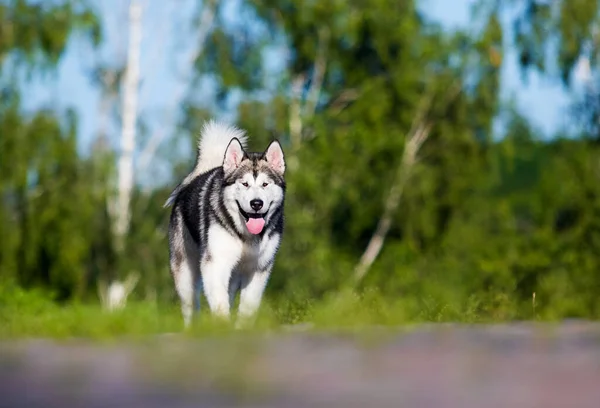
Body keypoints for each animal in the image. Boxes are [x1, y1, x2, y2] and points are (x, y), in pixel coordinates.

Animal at [164, 119, 286, 326]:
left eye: (265, 184)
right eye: (244, 184)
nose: (256, 203)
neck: (247, 235)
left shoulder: (258, 268)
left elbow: (247, 307)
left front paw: (241, 328)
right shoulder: (215, 263)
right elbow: (220, 304)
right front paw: (222, 326)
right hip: (185, 271)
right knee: (190, 304)